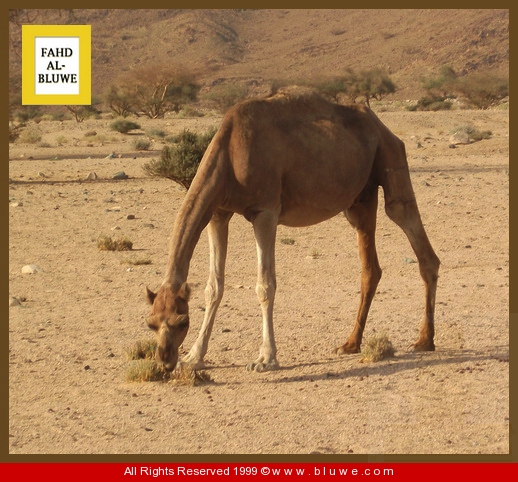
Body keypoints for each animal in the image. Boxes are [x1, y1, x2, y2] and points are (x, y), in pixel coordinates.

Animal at [146, 86, 442, 372]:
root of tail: (382, 126)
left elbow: (265, 285)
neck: (229, 154)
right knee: (370, 265)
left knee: (406, 221)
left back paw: (425, 340)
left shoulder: (265, 210)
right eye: (150, 323)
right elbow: (214, 287)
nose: (164, 359)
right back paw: (350, 343)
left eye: (182, 322)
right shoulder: (218, 212)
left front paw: (265, 359)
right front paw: (194, 357)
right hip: (361, 197)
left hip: (389, 154)